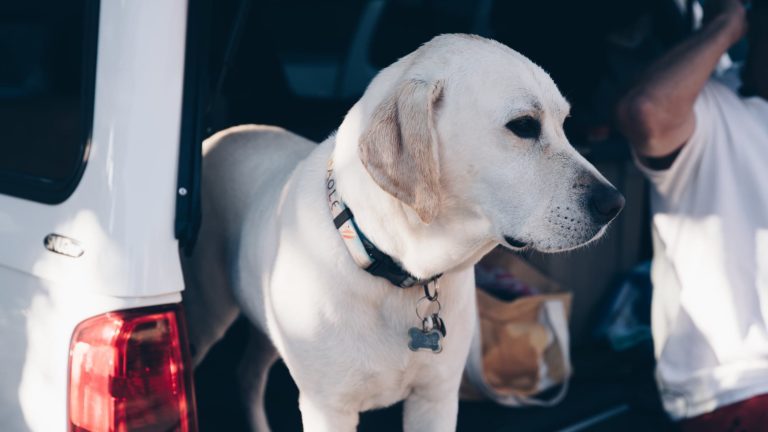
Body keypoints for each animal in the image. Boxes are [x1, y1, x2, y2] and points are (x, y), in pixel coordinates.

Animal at [184, 34, 624, 432]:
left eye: (564, 125)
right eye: (523, 126)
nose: (614, 204)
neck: (395, 267)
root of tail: (222, 134)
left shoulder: (436, 398)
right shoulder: (329, 409)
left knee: (247, 373)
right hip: (209, 316)